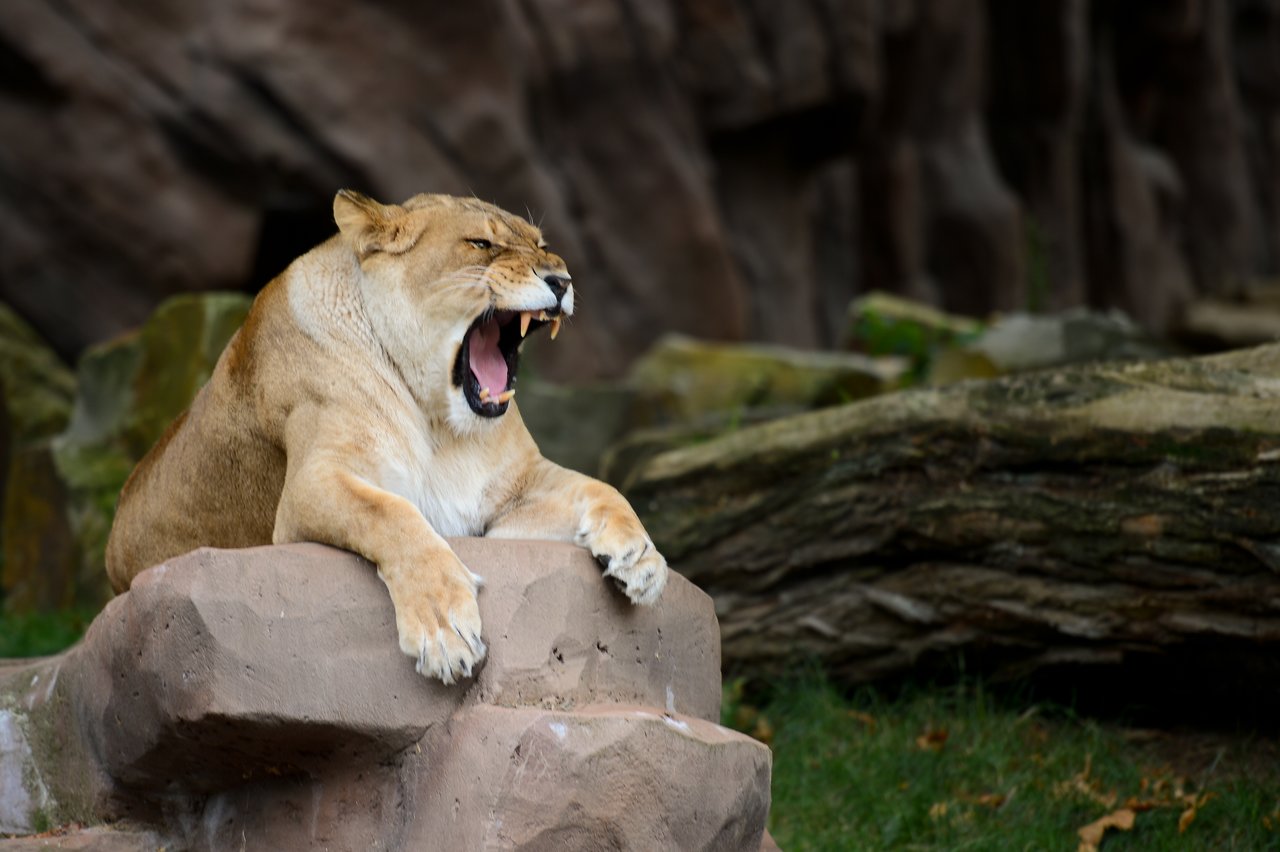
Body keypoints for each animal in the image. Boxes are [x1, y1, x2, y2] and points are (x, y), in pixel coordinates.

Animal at [105, 190, 668, 684]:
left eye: (540, 243)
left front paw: (640, 558)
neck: (441, 423)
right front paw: (444, 632)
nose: (562, 280)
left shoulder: (508, 498)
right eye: (480, 244)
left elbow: (597, 486)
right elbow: (392, 514)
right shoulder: (312, 484)